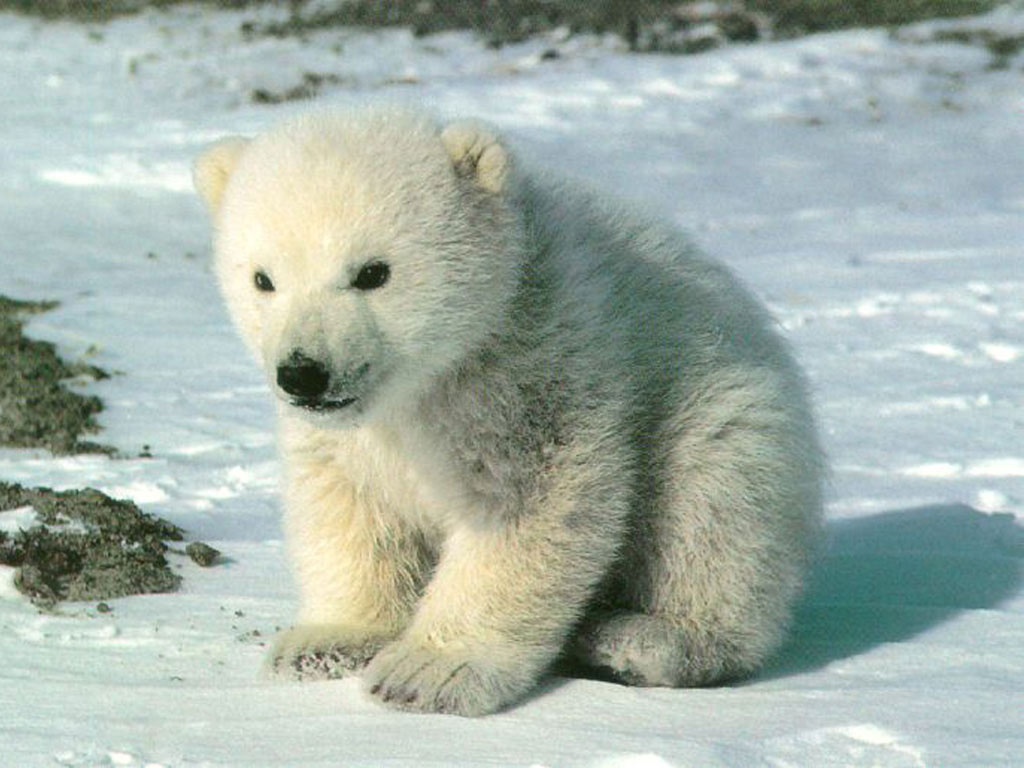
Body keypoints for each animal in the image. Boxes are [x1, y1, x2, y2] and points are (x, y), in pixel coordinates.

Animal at [193, 106, 824, 717]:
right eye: (263, 279)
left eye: (373, 272)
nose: (303, 372)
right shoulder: (353, 435)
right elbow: (350, 504)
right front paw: (323, 643)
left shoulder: (536, 362)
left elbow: (527, 504)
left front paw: (428, 672)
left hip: (721, 404)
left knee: (712, 511)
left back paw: (643, 639)